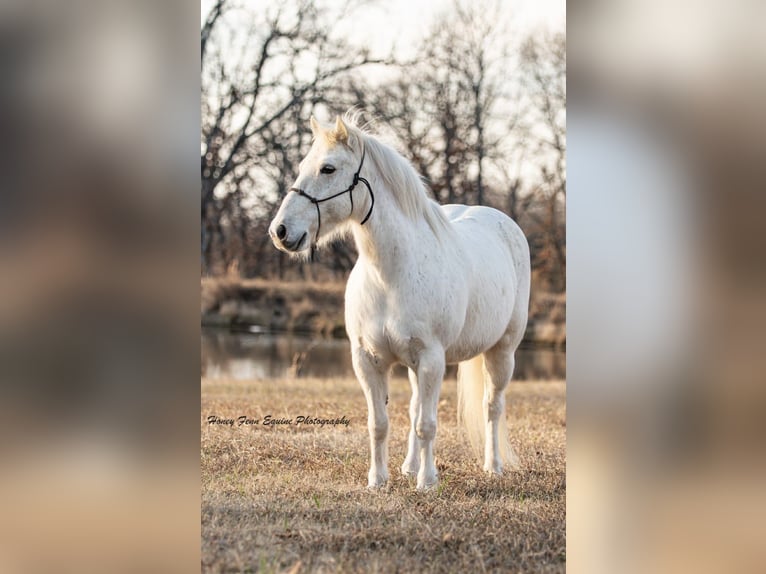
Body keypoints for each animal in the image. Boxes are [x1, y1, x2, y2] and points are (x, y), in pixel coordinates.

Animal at [269, 114, 531, 491]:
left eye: (328, 168)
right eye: (304, 166)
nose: (280, 231)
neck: (390, 276)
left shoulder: (432, 360)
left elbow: (427, 424)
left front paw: (427, 482)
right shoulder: (368, 360)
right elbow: (380, 423)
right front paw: (378, 480)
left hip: (502, 352)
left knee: (491, 406)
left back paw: (492, 465)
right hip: (413, 365)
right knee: (415, 407)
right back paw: (409, 466)